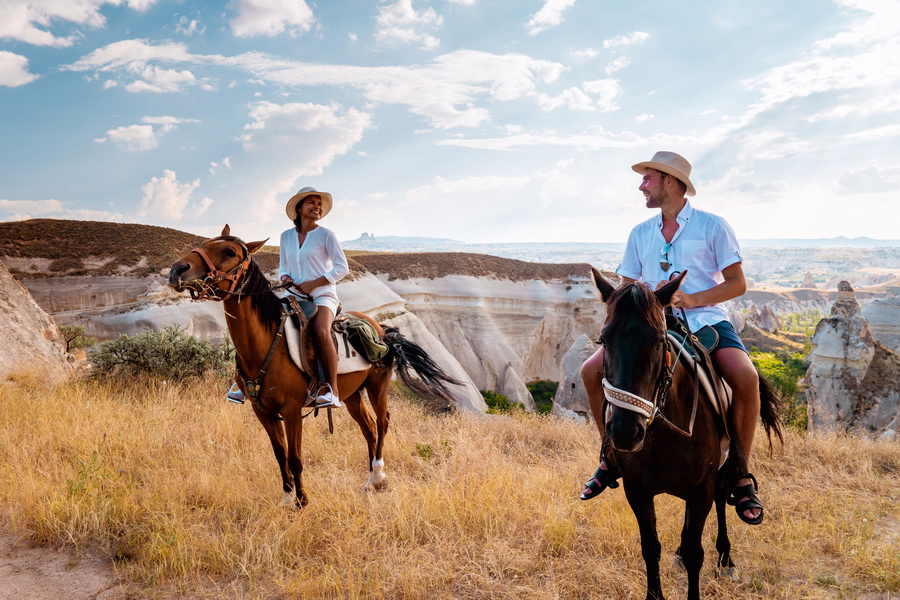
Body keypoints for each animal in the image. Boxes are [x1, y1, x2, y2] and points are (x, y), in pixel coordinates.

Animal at [169, 225, 460, 506]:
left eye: (229, 252)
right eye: (205, 243)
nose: (177, 270)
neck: (265, 344)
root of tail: (380, 327)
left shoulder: (291, 410)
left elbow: (295, 458)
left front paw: (302, 501)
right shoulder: (262, 411)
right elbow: (280, 455)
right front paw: (287, 499)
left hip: (378, 386)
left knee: (382, 422)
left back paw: (378, 476)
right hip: (352, 395)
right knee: (368, 427)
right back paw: (368, 482)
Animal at [592, 268, 780, 600]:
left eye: (658, 342)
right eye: (603, 340)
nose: (626, 432)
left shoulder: (699, 491)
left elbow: (695, 553)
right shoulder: (636, 490)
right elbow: (650, 548)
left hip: (722, 470)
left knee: (722, 497)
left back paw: (726, 556)